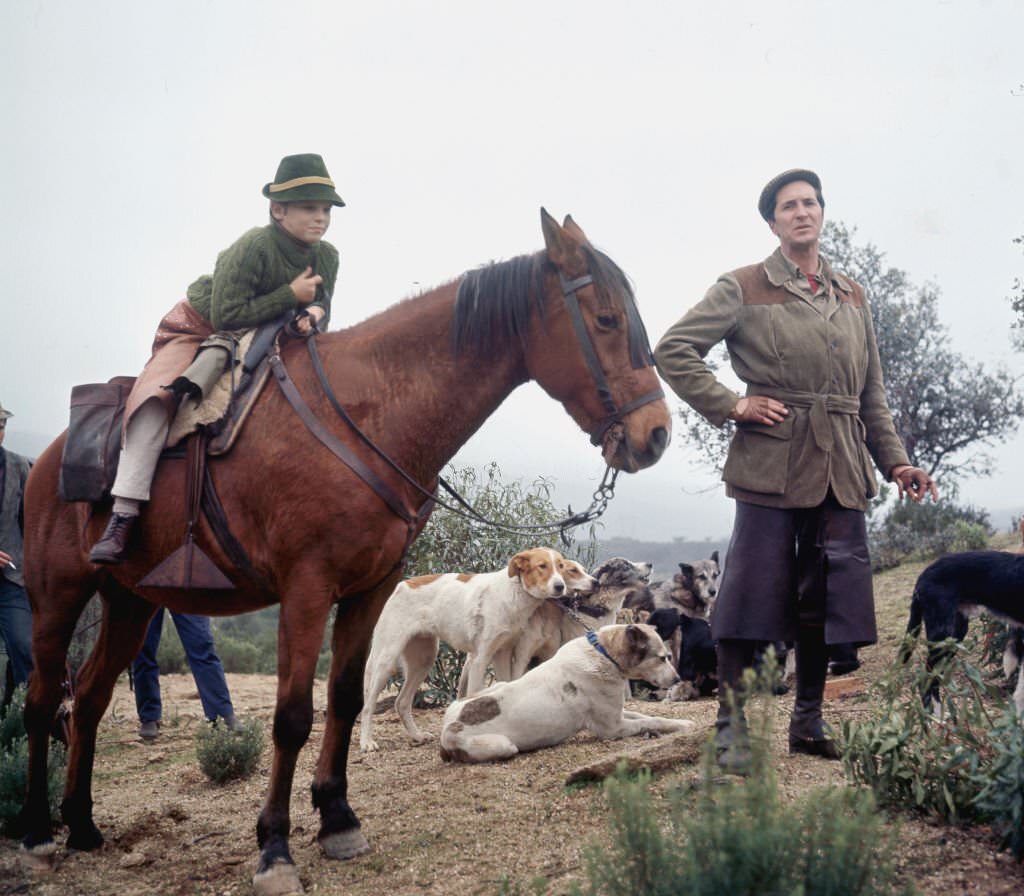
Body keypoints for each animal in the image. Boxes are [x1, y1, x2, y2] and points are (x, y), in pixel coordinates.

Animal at [362, 544, 589, 749]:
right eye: (542, 566)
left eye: (561, 566)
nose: (560, 587)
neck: (513, 593)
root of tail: (402, 585)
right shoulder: (481, 657)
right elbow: (473, 694)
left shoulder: (502, 653)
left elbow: (507, 684)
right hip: (386, 660)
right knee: (367, 705)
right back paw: (367, 743)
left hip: (424, 660)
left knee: (401, 702)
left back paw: (417, 736)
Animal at [440, 622, 696, 761]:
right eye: (662, 658)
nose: (678, 679)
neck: (605, 654)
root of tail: (446, 728)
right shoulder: (613, 728)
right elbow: (649, 721)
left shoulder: (617, 713)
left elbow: (647, 716)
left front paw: (679, 723)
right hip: (504, 745)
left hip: (497, 684)